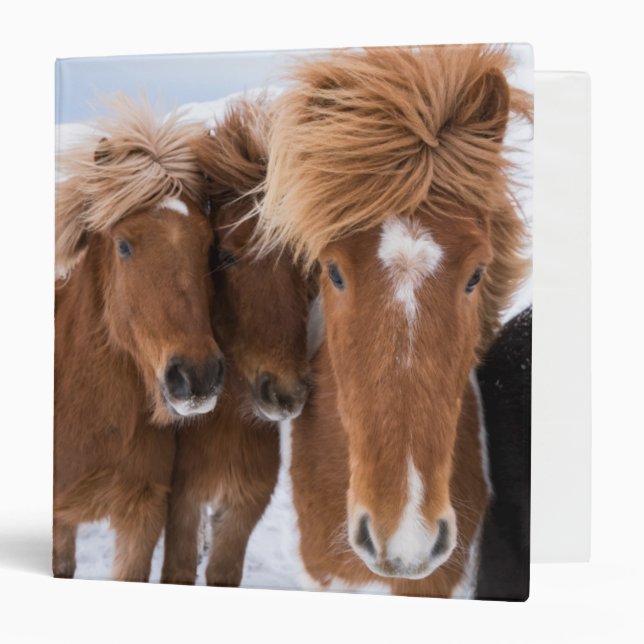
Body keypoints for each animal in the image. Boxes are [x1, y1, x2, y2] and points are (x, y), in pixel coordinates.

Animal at [161, 97, 311, 587]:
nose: (284, 394)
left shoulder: (246, 504)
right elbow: (178, 569)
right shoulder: (181, 501)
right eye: (223, 255)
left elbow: (224, 571)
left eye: (306, 264)